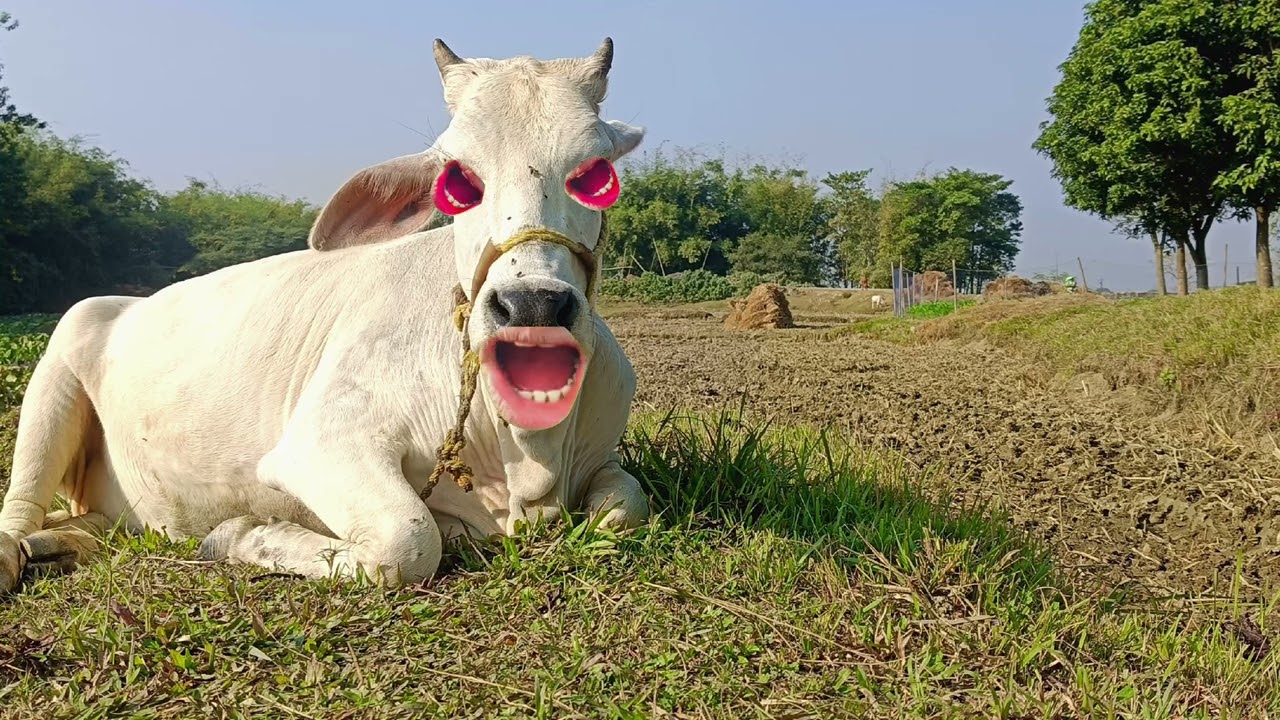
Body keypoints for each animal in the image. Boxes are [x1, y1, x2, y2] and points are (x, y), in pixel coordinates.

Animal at [0, 38, 650, 595]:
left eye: (596, 173)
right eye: (458, 177)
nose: (532, 304)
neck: (525, 455)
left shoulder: (605, 461)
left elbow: (624, 508)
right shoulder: (319, 445)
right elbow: (409, 540)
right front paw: (239, 534)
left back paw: (64, 544)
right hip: (61, 356)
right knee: (20, 502)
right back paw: (20, 552)